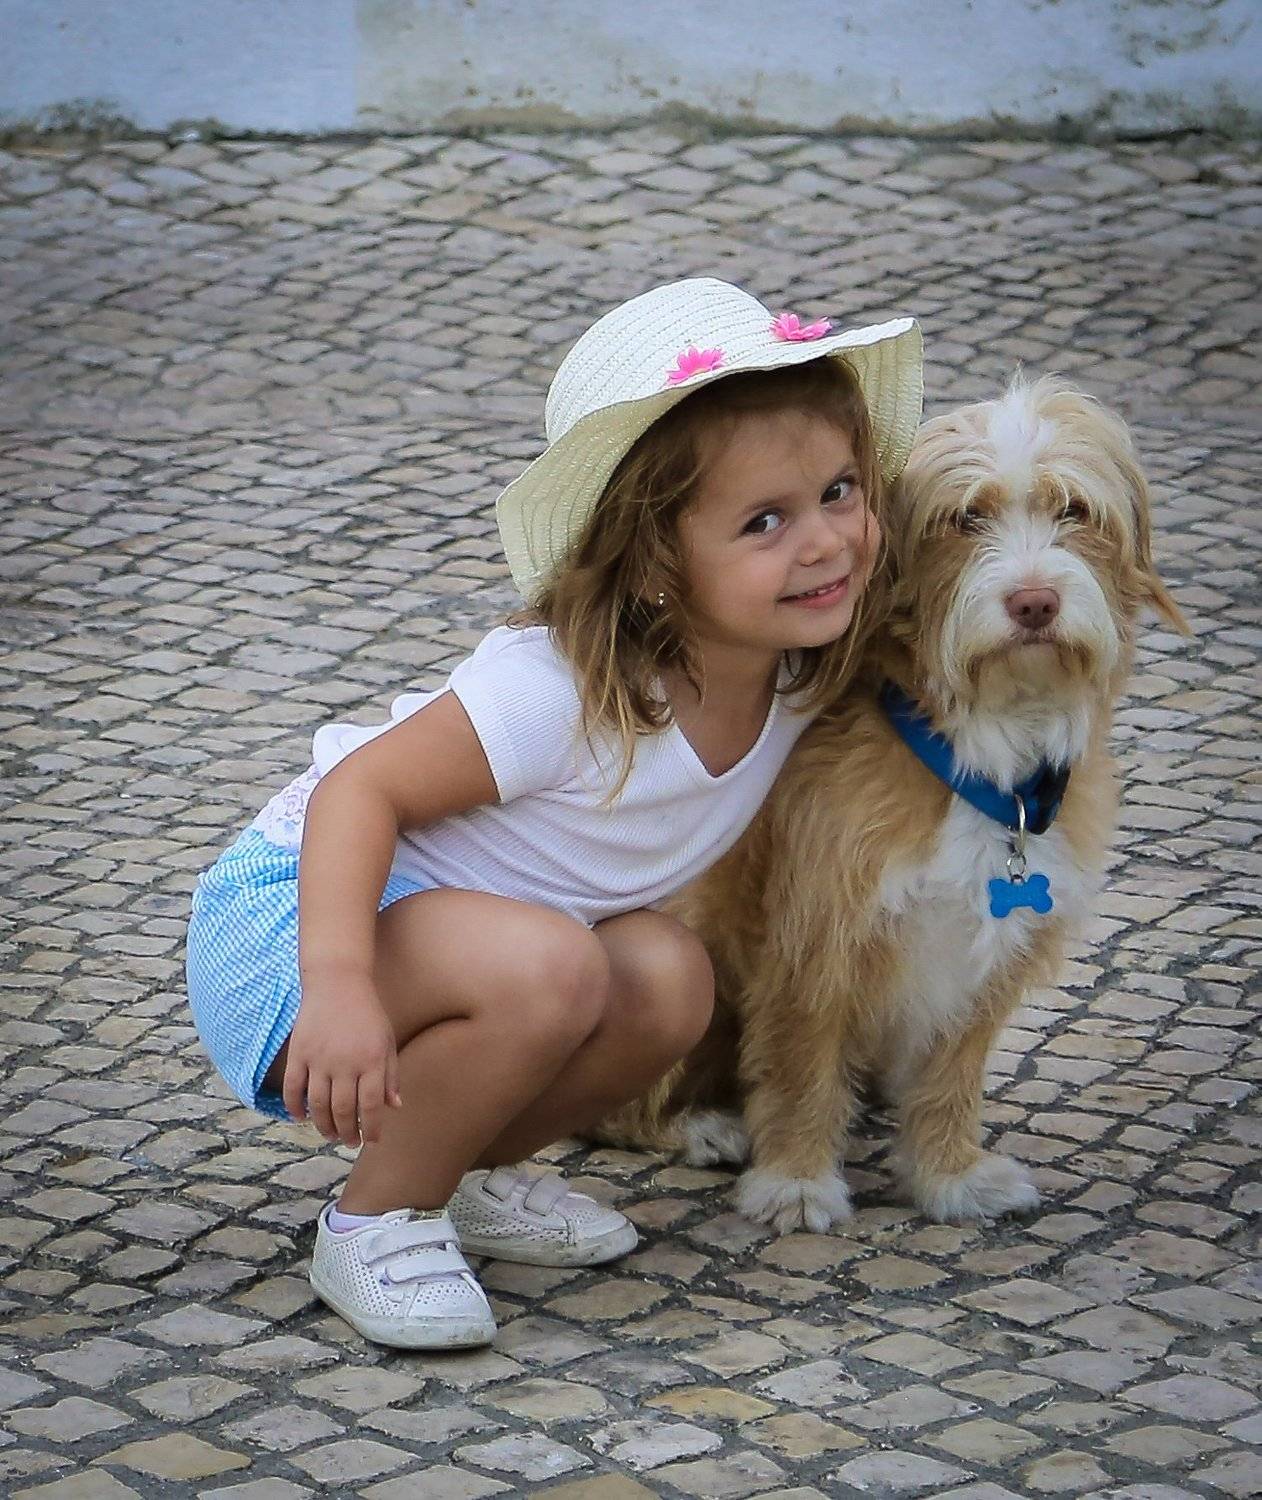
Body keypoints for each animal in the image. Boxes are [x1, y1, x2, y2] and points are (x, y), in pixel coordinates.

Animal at [597, 375, 1187, 1230]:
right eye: (966, 518)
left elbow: (952, 1072)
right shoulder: (820, 931)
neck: (984, 755)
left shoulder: (989, 955)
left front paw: (949, 1175)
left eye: (1075, 510)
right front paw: (798, 1181)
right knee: (618, 1108)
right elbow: (802, 1062)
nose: (1035, 603)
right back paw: (701, 1125)